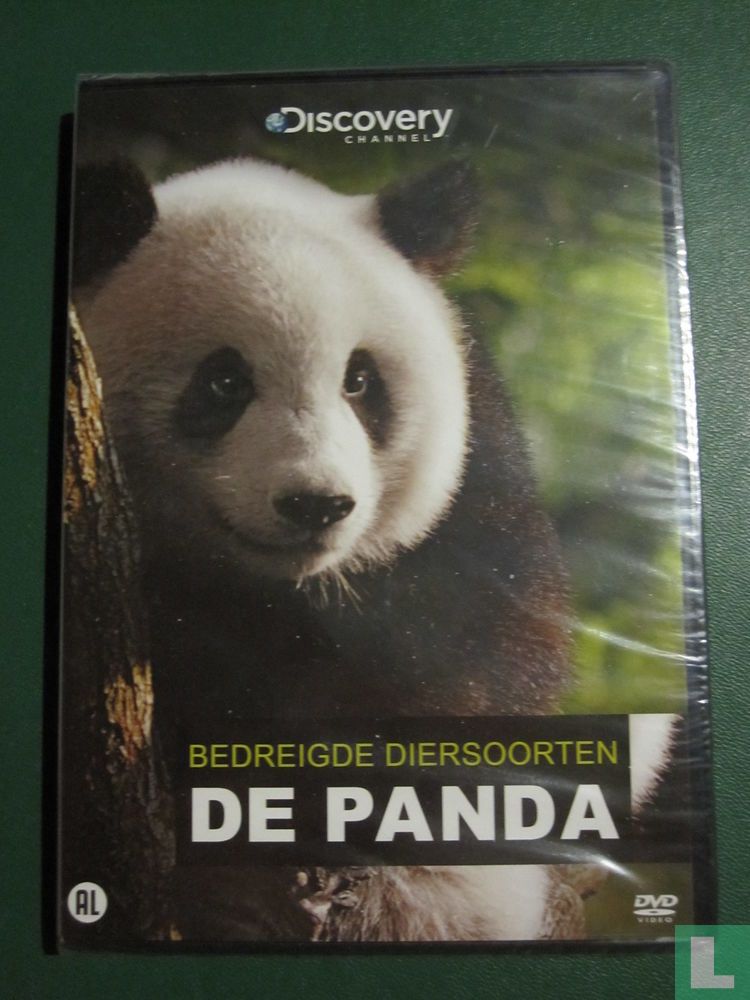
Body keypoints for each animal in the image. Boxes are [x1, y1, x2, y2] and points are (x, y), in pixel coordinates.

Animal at [71, 157, 671, 943]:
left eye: (359, 381)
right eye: (225, 380)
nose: (315, 504)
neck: (277, 590)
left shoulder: (474, 495)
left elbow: (475, 676)